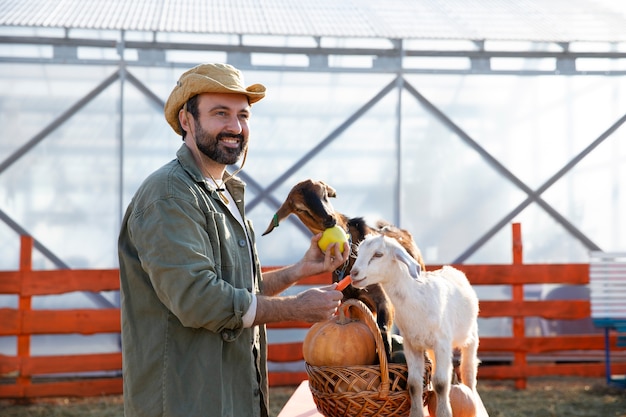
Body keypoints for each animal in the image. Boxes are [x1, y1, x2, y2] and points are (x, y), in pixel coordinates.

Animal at [260, 179, 426, 358]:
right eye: (300, 209)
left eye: (324, 194)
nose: (329, 219)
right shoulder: (351, 301)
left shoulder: (383, 298)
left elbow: (382, 330)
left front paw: (387, 358)